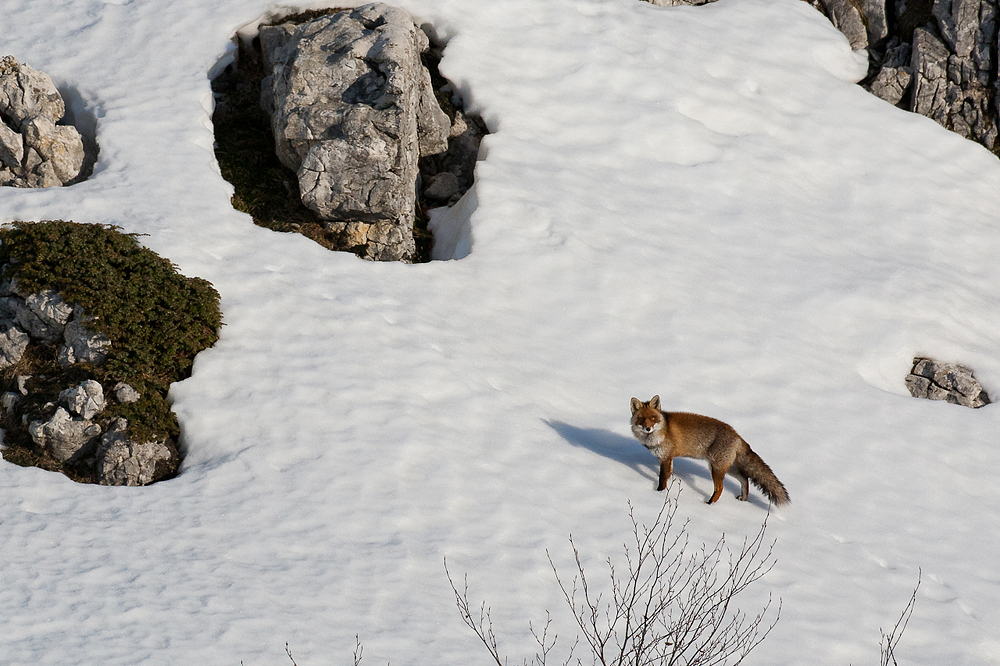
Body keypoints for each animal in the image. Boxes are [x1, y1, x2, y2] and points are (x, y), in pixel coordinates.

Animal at [632, 394, 788, 504]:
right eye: (641, 419)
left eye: (653, 418)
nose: (648, 428)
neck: (662, 430)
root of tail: (737, 435)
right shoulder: (668, 458)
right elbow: (668, 474)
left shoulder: (665, 458)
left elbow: (662, 479)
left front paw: (659, 493)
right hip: (729, 468)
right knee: (745, 479)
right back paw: (743, 499)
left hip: (716, 468)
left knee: (720, 488)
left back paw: (709, 503)